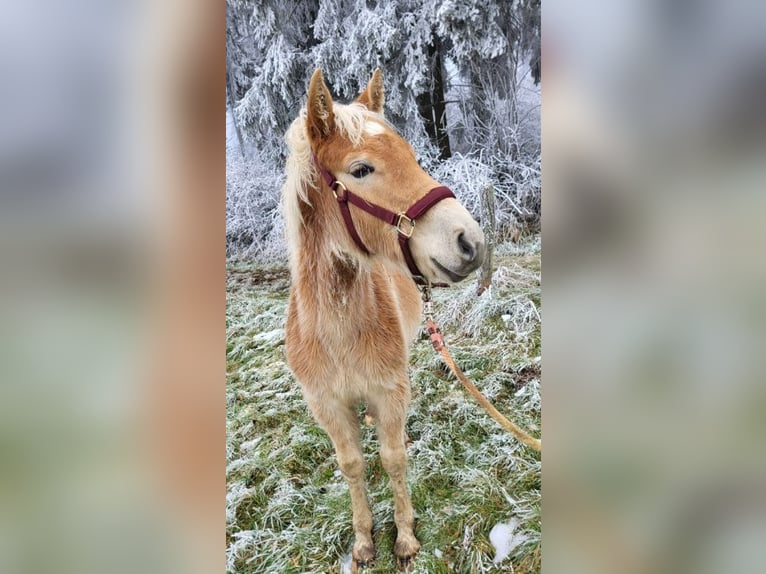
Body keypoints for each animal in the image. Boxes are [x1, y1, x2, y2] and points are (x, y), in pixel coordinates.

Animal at [282, 68, 486, 572]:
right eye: (361, 170)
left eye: (411, 155)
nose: (470, 241)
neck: (337, 331)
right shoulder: (327, 405)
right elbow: (352, 465)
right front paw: (363, 540)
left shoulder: (390, 389)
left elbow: (393, 459)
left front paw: (406, 536)